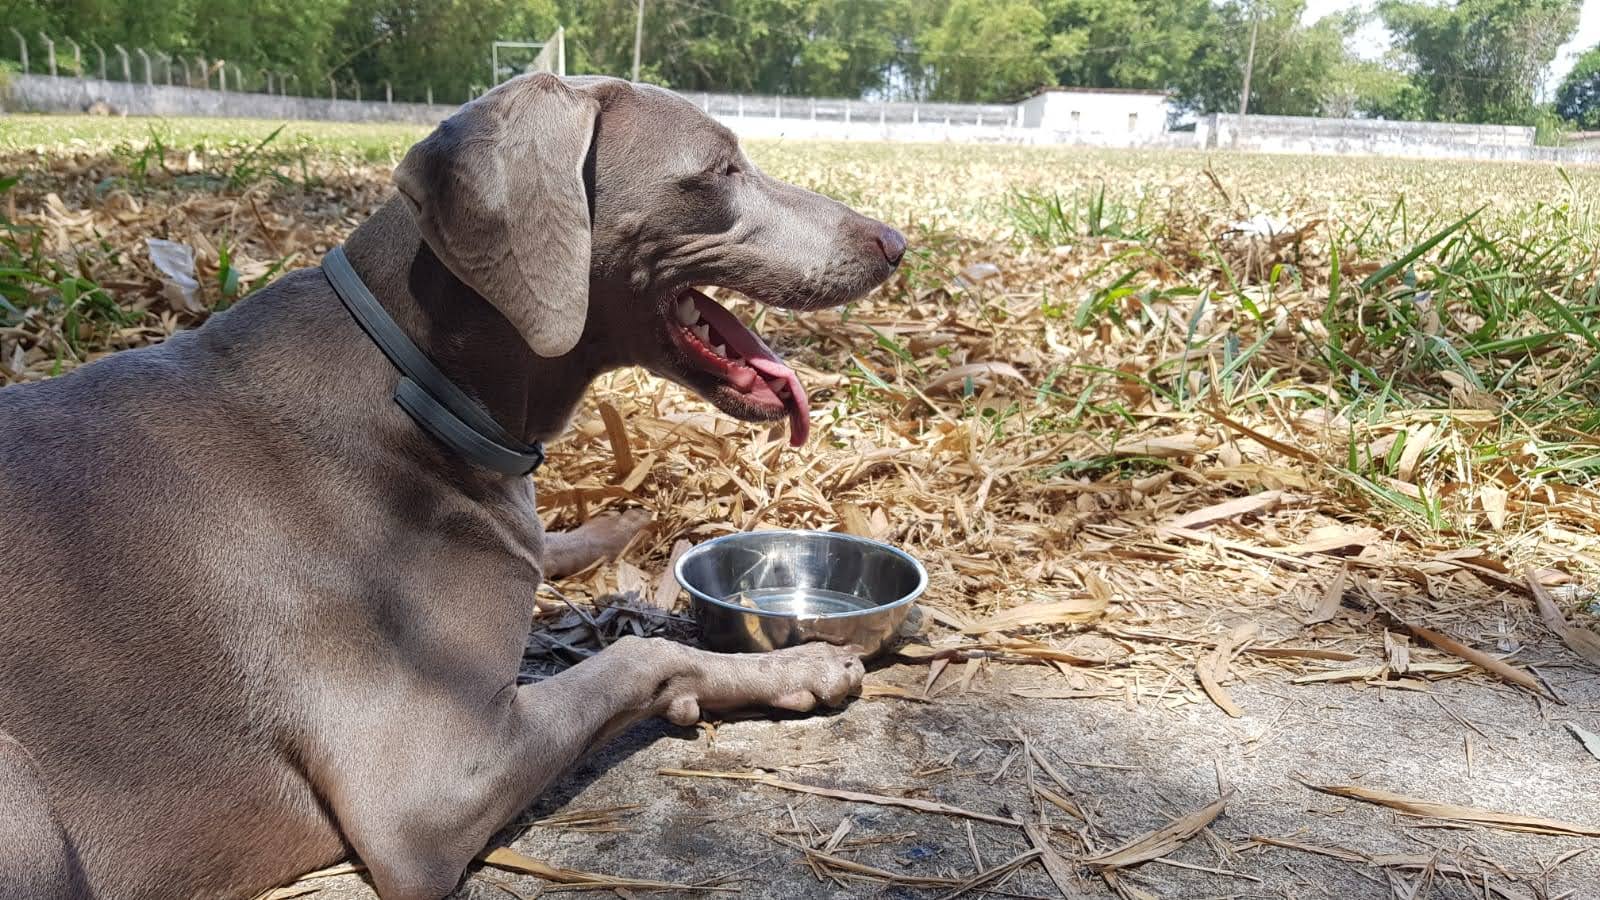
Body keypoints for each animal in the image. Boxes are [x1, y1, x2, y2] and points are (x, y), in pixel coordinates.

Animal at [0, 76, 902, 896]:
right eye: (719, 169)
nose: (894, 241)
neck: (417, 382)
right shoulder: (423, 789)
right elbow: (639, 655)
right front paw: (801, 666)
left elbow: (559, 556)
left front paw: (619, 527)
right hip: (22, 793)